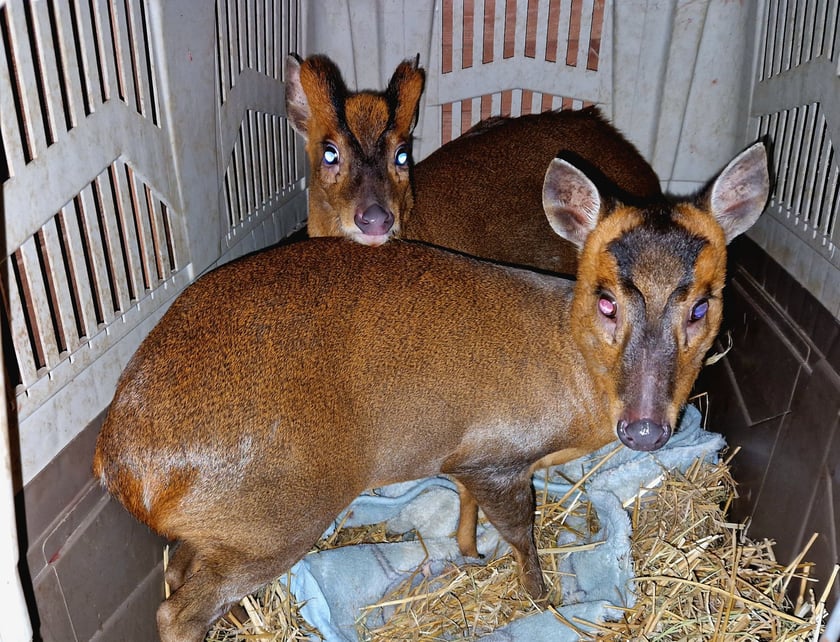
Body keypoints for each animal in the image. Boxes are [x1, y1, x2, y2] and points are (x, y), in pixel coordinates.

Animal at [92, 127, 768, 636]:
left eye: (703, 304)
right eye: (605, 299)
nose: (645, 430)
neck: (574, 371)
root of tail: (121, 465)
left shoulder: (467, 455)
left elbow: (467, 504)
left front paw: (468, 553)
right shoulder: (500, 455)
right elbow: (521, 535)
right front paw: (540, 599)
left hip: (225, 527)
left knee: (175, 572)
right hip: (273, 520)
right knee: (178, 611)